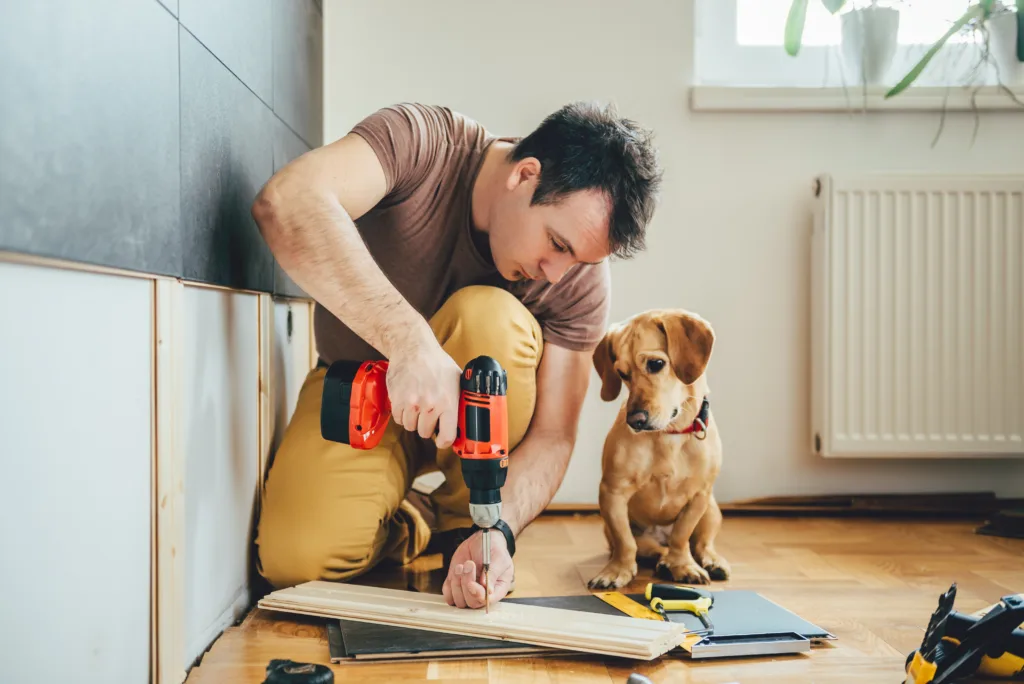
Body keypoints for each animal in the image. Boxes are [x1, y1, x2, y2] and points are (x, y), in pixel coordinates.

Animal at [585, 309, 729, 589]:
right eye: (621, 373)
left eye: (655, 364)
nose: (635, 420)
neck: (668, 435)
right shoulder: (612, 493)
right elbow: (625, 542)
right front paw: (617, 570)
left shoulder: (699, 496)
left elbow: (682, 536)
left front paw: (683, 565)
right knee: (650, 548)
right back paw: (663, 560)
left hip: (711, 511)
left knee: (702, 543)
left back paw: (711, 561)